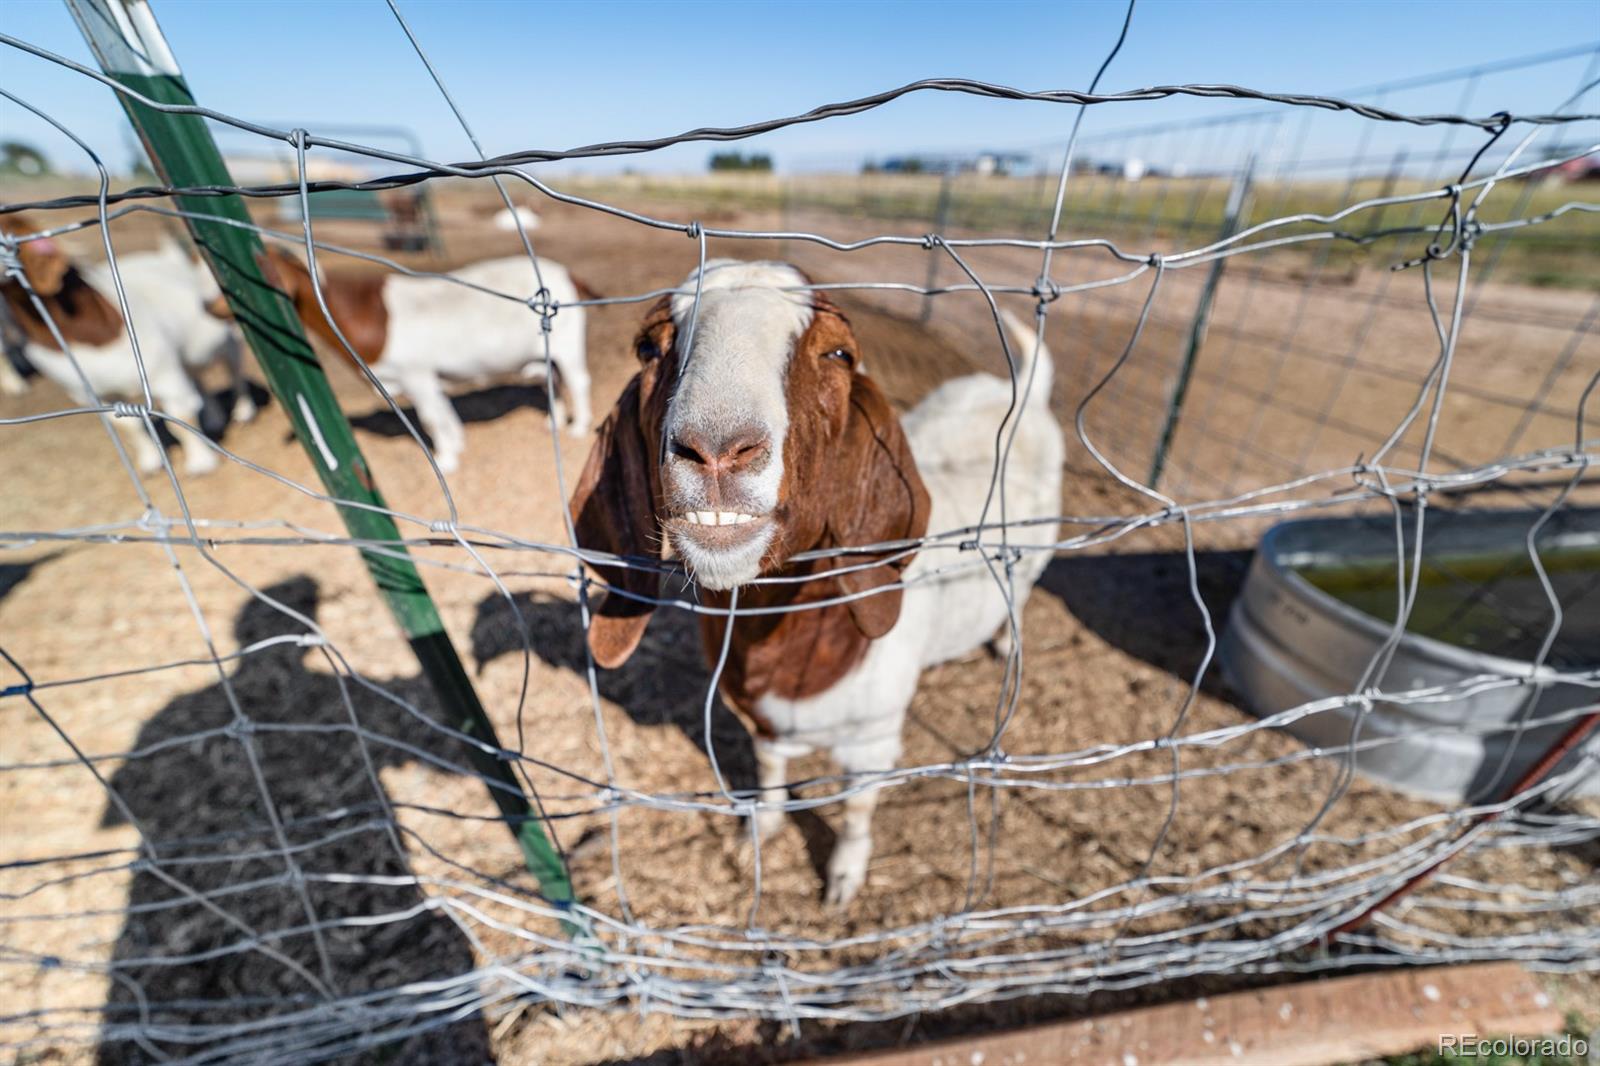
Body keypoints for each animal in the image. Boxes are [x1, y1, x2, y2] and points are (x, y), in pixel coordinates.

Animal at [576, 260, 1062, 902]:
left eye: (839, 352)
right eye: (648, 348)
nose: (717, 448)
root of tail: (1021, 393)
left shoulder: (875, 740)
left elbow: (857, 808)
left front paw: (844, 877)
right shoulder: (759, 719)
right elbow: (771, 770)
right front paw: (759, 834)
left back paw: (1006, 641)